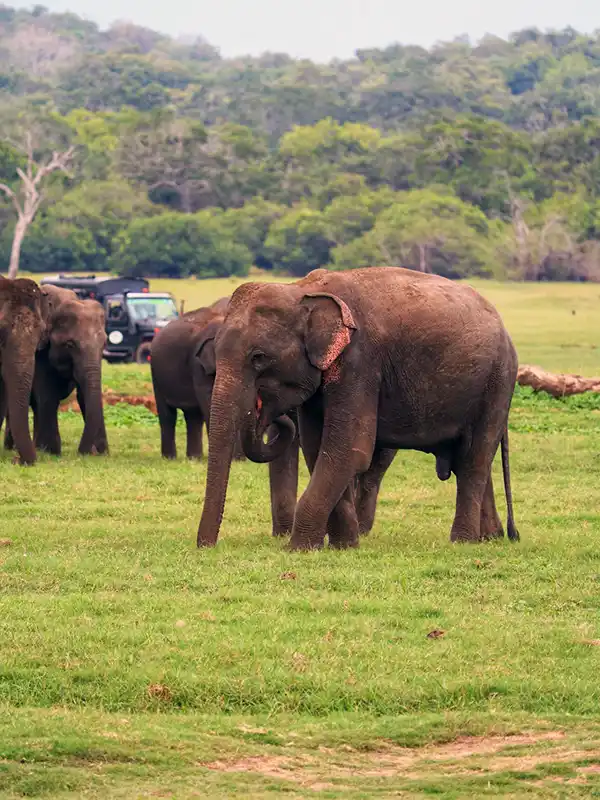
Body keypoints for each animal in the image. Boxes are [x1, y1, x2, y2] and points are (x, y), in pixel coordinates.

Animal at [5, 284, 108, 456]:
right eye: (70, 345)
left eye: (104, 344)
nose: (83, 452)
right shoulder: (40, 352)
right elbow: (47, 395)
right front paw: (51, 452)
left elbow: (84, 394)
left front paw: (102, 454)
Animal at [151, 296, 299, 537]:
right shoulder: (199, 364)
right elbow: (211, 404)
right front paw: (236, 458)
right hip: (156, 374)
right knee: (168, 416)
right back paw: (171, 458)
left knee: (192, 417)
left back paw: (194, 458)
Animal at [196, 266, 520, 551]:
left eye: (259, 357)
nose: (207, 548)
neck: (302, 289)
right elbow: (317, 449)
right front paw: (344, 546)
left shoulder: (359, 361)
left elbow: (348, 450)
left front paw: (297, 549)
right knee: (471, 459)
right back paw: (489, 537)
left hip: (498, 382)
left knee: (475, 458)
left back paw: (462, 542)